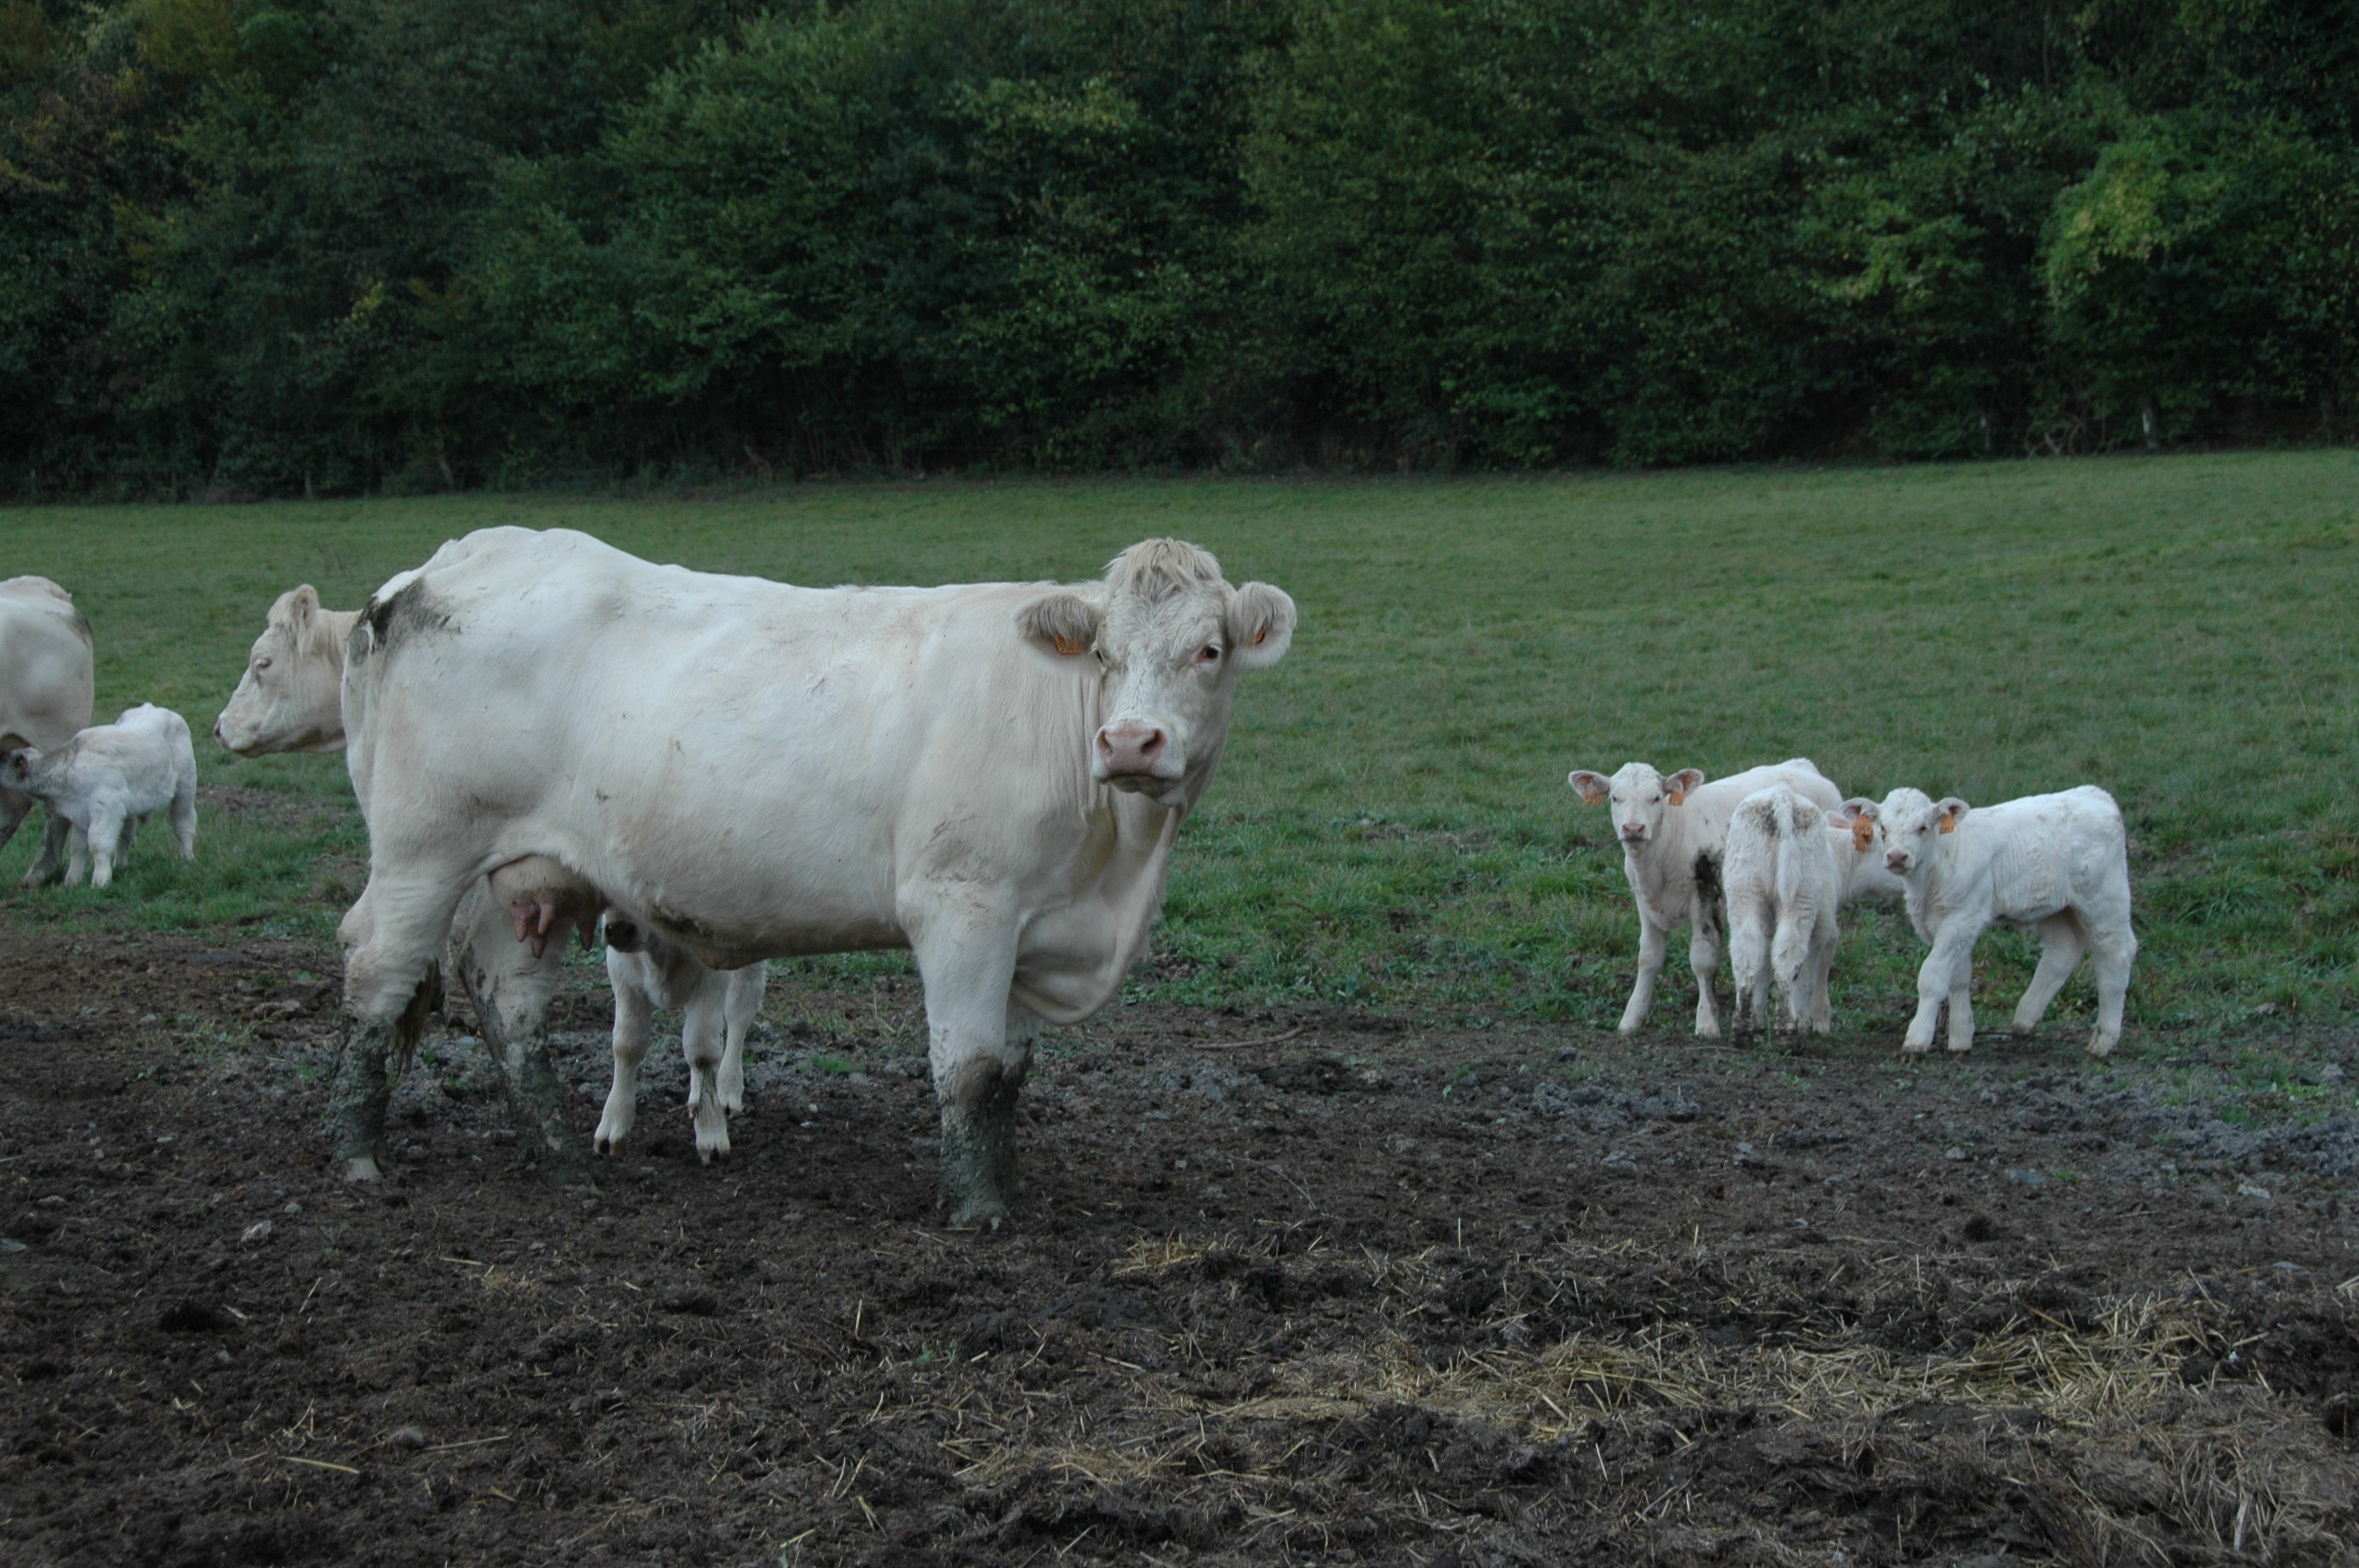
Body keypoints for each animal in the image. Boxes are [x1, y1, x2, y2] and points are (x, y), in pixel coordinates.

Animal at [0, 702, 195, 886]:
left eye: (2, 759)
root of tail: (154, 708)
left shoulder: (106, 805)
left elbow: (98, 843)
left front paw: (100, 880)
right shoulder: (80, 813)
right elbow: (77, 847)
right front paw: (72, 881)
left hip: (186, 786)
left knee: (183, 823)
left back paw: (187, 858)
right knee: (126, 835)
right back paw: (120, 866)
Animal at [330, 525, 1302, 1225]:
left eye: (1210, 650)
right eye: (1101, 654)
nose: (1130, 742)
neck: (1114, 872)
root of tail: (439, 564)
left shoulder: (1034, 925)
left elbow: (1009, 1076)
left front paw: (1007, 1187)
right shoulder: (962, 904)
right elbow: (967, 1068)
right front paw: (974, 1210)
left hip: (527, 872)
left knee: (509, 995)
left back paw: (560, 1156)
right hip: (423, 851)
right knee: (377, 970)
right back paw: (359, 1153)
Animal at [1566, 759, 1840, 1037]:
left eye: (1656, 798)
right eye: (1615, 798)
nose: (1633, 828)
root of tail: (1801, 765)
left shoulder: (1706, 895)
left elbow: (1703, 959)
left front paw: (1707, 1022)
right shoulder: (1645, 900)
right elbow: (1648, 957)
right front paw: (1632, 1018)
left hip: (1821, 893)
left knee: (1825, 943)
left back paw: (1818, 1017)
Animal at [1849, 782, 2151, 1051]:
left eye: (1923, 827)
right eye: (1882, 828)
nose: (1897, 857)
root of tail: (2096, 794)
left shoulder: (1962, 918)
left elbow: (1933, 976)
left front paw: (1917, 1040)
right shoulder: (1949, 923)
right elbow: (1959, 977)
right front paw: (1961, 1039)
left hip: (2106, 899)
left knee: (2116, 952)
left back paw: (2103, 1042)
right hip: (2058, 907)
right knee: (2064, 949)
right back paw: (2024, 1021)